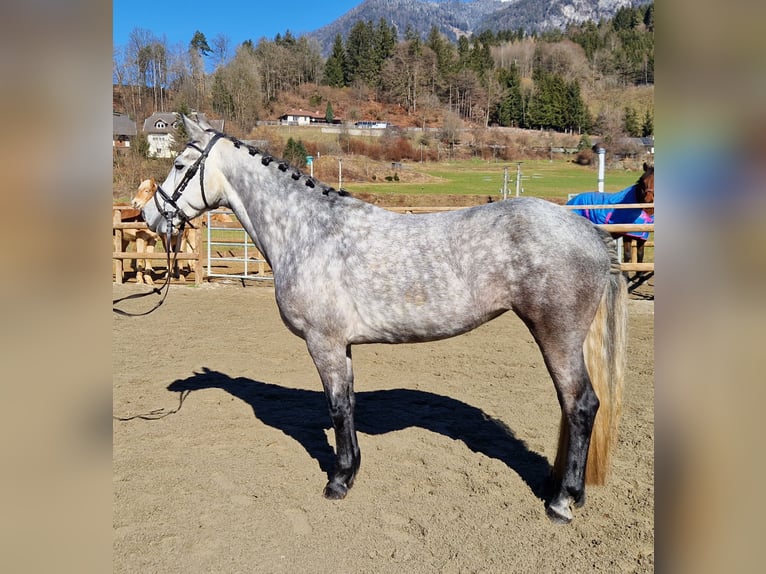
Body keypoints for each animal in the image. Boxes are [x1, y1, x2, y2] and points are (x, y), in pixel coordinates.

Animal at [140, 117, 632, 528]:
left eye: (180, 164)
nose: (150, 216)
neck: (308, 231)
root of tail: (590, 233)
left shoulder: (323, 343)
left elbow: (336, 408)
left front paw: (338, 482)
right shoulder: (342, 346)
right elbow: (348, 405)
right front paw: (352, 470)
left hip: (557, 337)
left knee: (581, 405)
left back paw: (562, 501)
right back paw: (560, 487)